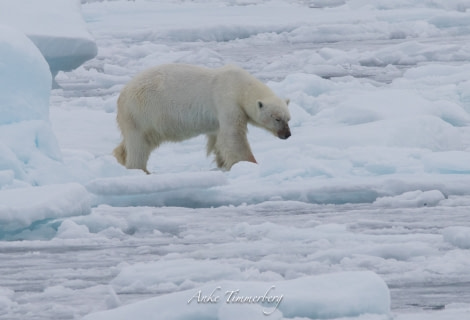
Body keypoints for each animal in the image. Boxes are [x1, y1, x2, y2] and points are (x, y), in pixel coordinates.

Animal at [114, 63, 290, 172]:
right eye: (277, 118)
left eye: (288, 118)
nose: (287, 134)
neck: (240, 86)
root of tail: (122, 94)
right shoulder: (227, 102)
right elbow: (233, 136)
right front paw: (250, 163)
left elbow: (219, 139)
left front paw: (222, 163)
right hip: (140, 112)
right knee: (138, 145)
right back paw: (141, 170)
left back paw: (120, 156)